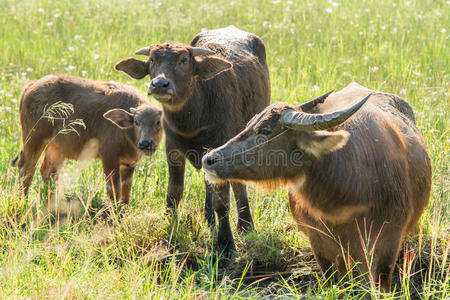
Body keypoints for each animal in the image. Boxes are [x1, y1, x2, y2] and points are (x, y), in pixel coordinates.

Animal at [11, 74, 163, 204]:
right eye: (137, 122)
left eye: (158, 122)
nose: (146, 144)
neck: (126, 134)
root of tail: (30, 86)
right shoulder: (109, 156)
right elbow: (113, 189)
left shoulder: (128, 163)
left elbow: (126, 190)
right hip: (34, 137)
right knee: (26, 168)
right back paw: (22, 200)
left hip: (56, 147)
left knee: (48, 172)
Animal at [115, 26, 270, 255]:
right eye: (152, 60)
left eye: (183, 60)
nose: (159, 84)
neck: (193, 118)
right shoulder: (173, 150)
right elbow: (174, 194)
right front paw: (169, 229)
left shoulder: (220, 147)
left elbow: (222, 201)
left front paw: (226, 245)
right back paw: (209, 220)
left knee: (237, 184)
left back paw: (245, 225)